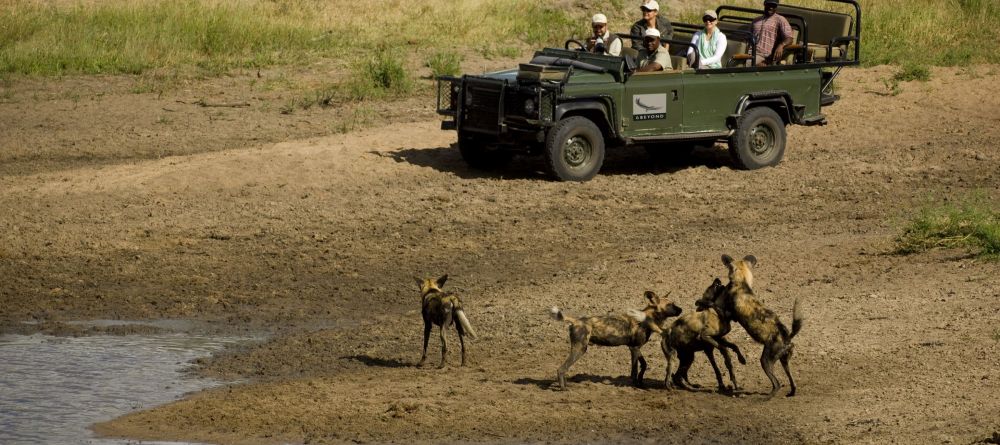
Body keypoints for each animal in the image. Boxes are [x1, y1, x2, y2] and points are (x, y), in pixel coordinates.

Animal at [552, 288, 684, 388]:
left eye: (673, 303)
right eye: (669, 305)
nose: (681, 309)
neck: (647, 319)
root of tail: (576, 320)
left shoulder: (635, 348)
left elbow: (644, 365)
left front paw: (641, 381)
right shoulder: (634, 349)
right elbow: (634, 371)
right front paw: (636, 385)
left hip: (580, 349)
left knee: (563, 368)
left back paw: (566, 385)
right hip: (580, 349)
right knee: (561, 369)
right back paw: (563, 388)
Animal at [720, 255, 804, 398]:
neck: (742, 283)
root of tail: (787, 337)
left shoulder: (729, 313)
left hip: (765, 361)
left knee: (776, 384)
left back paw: (764, 398)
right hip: (784, 361)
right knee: (792, 381)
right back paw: (791, 392)